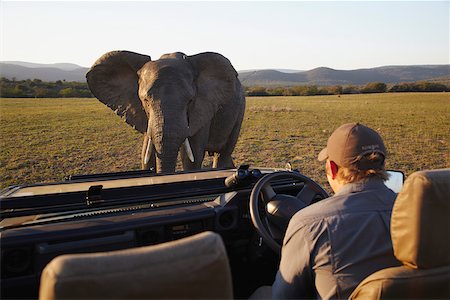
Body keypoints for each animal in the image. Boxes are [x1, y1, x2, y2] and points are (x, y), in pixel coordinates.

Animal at [85, 50, 244, 173]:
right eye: (145, 101)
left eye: (190, 101)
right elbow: (146, 153)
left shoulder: (202, 110)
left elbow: (192, 157)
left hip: (239, 112)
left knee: (223, 153)